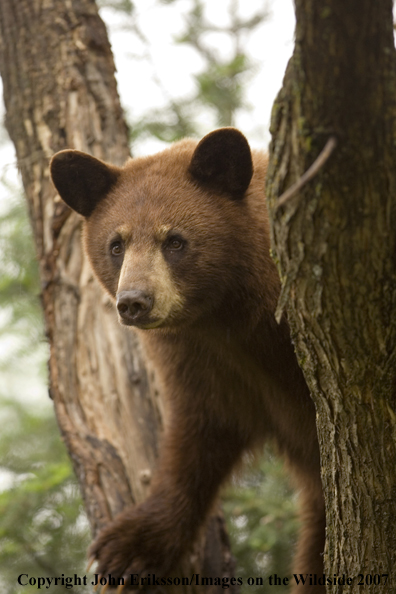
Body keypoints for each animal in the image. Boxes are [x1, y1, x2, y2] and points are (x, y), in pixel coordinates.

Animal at [50, 128, 324, 588]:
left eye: (175, 240)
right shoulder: (199, 358)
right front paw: (130, 544)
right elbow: (200, 430)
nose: (133, 302)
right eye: (116, 245)